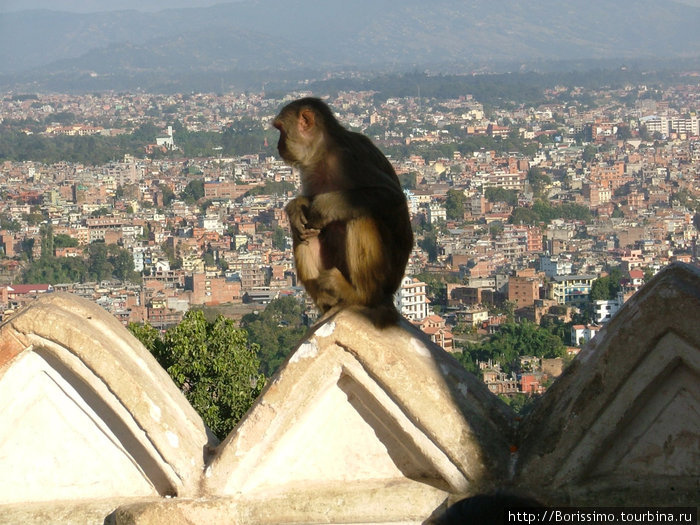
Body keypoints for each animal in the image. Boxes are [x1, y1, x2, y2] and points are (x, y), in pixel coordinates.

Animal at [272, 96, 416, 326]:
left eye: (281, 130)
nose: (278, 145)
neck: (323, 152)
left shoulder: (349, 157)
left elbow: (391, 195)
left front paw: (323, 207)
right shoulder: (309, 169)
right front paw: (296, 207)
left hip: (385, 278)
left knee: (361, 217)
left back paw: (358, 294)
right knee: (304, 234)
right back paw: (328, 301)